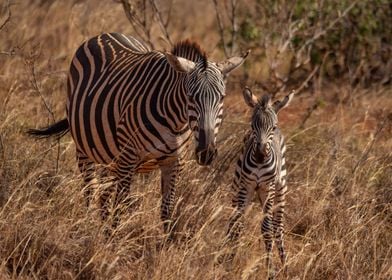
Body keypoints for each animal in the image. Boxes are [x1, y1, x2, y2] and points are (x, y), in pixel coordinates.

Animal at [28, 33, 248, 232]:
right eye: (191, 97)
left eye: (222, 97)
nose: (206, 153)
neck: (175, 122)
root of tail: (104, 35)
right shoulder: (128, 157)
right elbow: (121, 206)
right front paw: (115, 244)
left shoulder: (174, 162)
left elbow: (167, 210)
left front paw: (165, 246)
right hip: (86, 148)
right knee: (91, 191)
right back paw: (88, 229)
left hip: (110, 156)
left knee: (103, 195)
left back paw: (101, 230)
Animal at [224, 87, 294, 278]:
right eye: (252, 125)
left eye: (273, 127)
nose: (261, 154)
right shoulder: (245, 187)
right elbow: (237, 225)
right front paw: (228, 261)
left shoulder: (266, 188)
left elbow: (267, 229)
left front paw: (271, 270)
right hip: (237, 186)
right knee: (232, 220)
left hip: (280, 189)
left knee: (278, 227)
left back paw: (285, 265)